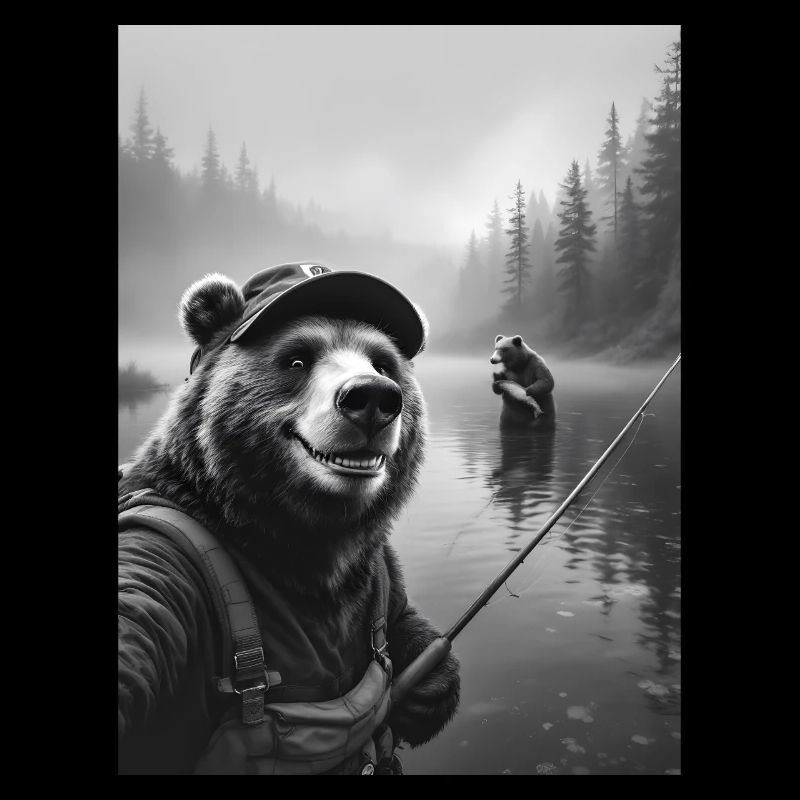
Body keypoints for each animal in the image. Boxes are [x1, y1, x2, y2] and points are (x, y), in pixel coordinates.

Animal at [118, 265, 460, 774]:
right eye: (297, 360)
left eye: (383, 363)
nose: (373, 396)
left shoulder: (373, 562)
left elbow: (400, 614)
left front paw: (431, 686)